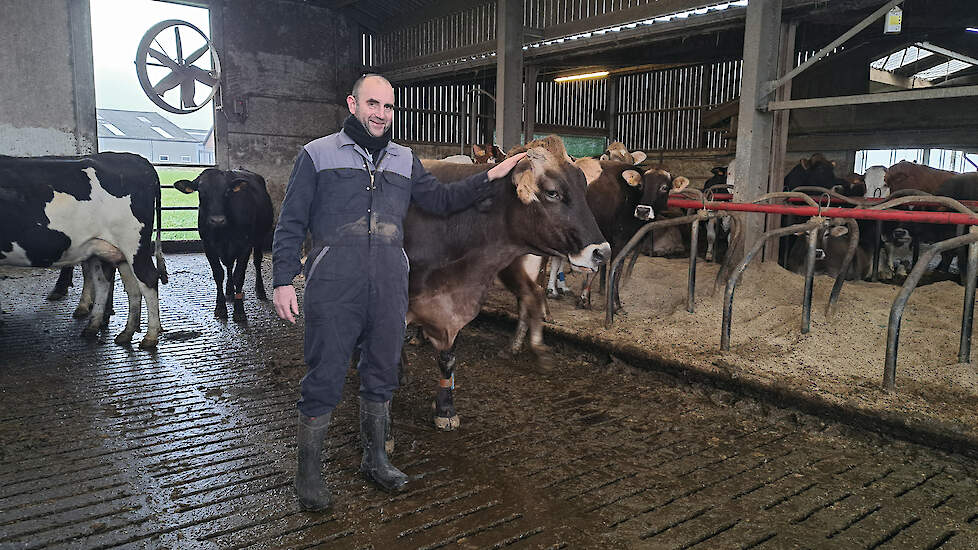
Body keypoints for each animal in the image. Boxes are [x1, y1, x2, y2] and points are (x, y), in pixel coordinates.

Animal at [0, 153, 166, 348]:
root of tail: (136, 159)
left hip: (133, 244)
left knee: (148, 279)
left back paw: (150, 336)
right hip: (109, 250)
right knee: (119, 285)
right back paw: (116, 331)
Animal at [174, 169, 272, 324]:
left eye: (227, 191)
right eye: (201, 191)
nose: (217, 220)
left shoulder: (245, 246)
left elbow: (239, 276)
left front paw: (239, 311)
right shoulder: (208, 245)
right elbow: (219, 274)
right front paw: (220, 307)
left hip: (259, 238)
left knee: (257, 261)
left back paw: (260, 290)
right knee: (229, 266)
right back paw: (229, 292)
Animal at [406, 146, 608, 432]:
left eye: (584, 187)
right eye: (552, 192)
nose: (602, 252)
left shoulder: (451, 302)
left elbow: (447, 356)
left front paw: (445, 409)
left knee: (530, 295)